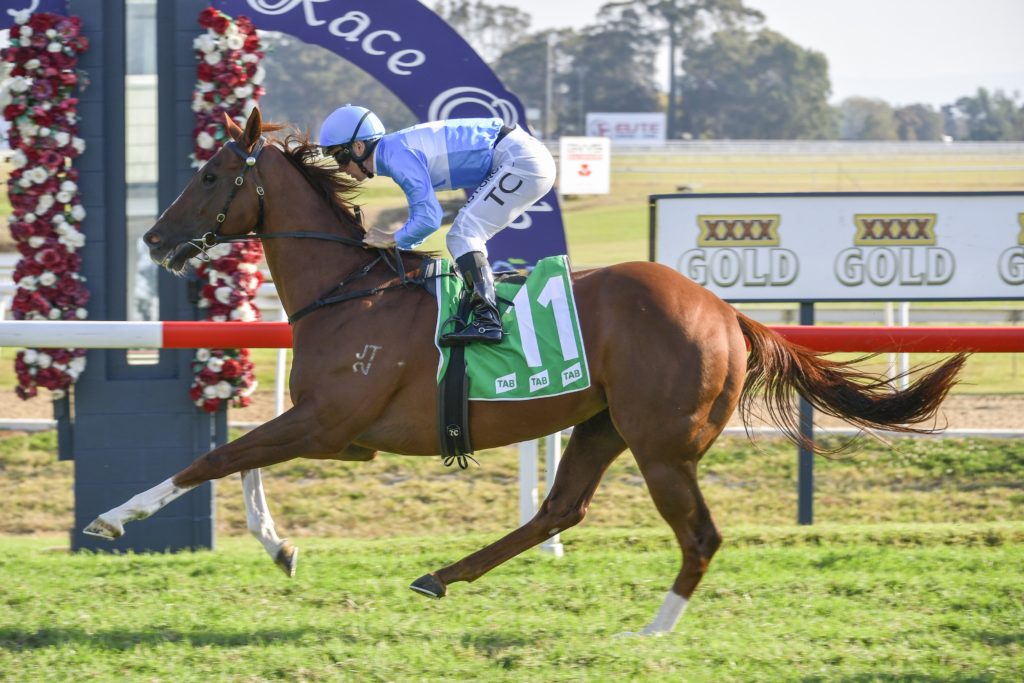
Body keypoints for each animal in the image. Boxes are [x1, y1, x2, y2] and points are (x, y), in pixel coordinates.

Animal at [84, 108, 965, 635]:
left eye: (208, 176)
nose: (155, 239)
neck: (349, 291)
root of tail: (726, 313)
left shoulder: (332, 422)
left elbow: (216, 457)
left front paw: (115, 518)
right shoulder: (332, 430)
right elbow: (240, 461)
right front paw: (279, 547)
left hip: (661, 444)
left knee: (699, 534)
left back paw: (652, 631)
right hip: (602, 424)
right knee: (558, 510)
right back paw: (442, 575)